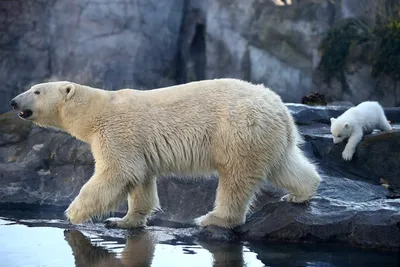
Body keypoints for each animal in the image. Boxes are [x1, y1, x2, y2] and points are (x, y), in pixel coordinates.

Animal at [10, 78, 322, 229]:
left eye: (36, 91)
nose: (13, 102)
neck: (97, 109)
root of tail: (280, 108)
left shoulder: (118, 132)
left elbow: (117, 172)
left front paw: (72, 213)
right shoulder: (139, 146)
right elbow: (140, 180)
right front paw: (123, 221)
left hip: (238, 131)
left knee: (236, 178)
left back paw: (213, 218)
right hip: (268, 136)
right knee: (285, 164)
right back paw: (300, 193)